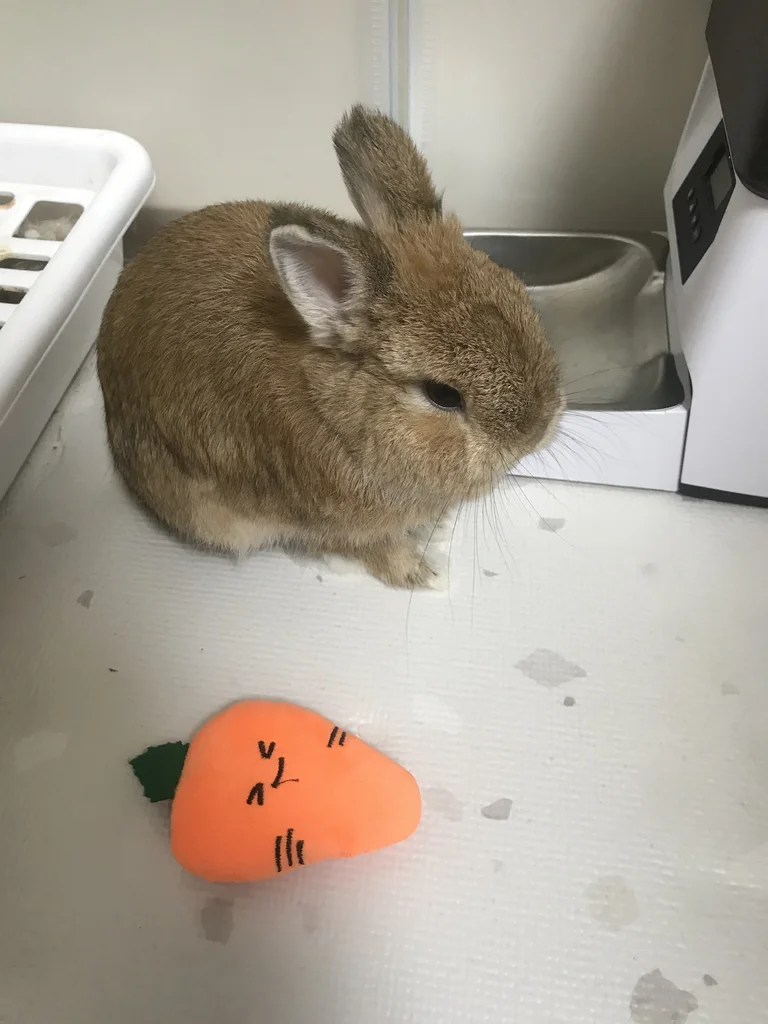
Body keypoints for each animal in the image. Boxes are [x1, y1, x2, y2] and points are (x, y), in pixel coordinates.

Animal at [96, 106, 563, 589]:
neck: (336, 415)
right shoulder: (334, 524)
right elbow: (371, 549)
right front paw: (420, 573)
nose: (537, 430)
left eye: (519, 296)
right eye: (443, 395)